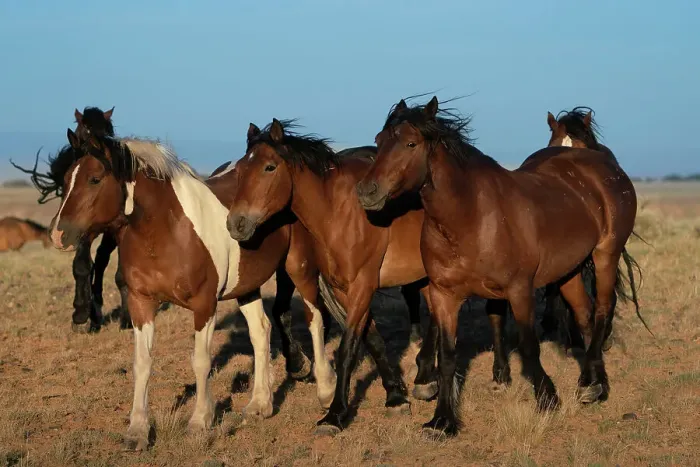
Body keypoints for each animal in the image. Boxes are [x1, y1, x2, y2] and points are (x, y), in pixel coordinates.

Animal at [11, 106, 127, 332]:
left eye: (108, 132)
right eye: (82, 133)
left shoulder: (113, 228)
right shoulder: (78, 229)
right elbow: (81, 265)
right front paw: (81, 313)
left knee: (101, 260)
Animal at [46, 130, 336, 451]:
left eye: (95, 179)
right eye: (66, 178)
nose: (58, 234)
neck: (167, 230)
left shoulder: (204, 304)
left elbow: (201, 361)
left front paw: (200, 421)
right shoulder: (140, 304)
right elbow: (142, 363)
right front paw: (137, 430)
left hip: (300, 269)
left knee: (314, 320)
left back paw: (326, 390)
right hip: (246, 285)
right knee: (261, 331)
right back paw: (260, 404)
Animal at [357, 96, 641, 438]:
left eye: (411, 143)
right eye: (379, 141)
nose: (366, 191)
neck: (472, 217)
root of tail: (603, 167)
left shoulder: (519, 290)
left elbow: (530, 346)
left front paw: (547, 399)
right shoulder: (443, 295)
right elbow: (448, 356)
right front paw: (442, 421)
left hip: (605, 255)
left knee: (602, 310)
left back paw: (594, 384)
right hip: (568, 270)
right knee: (585, 315)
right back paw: (591, 382)